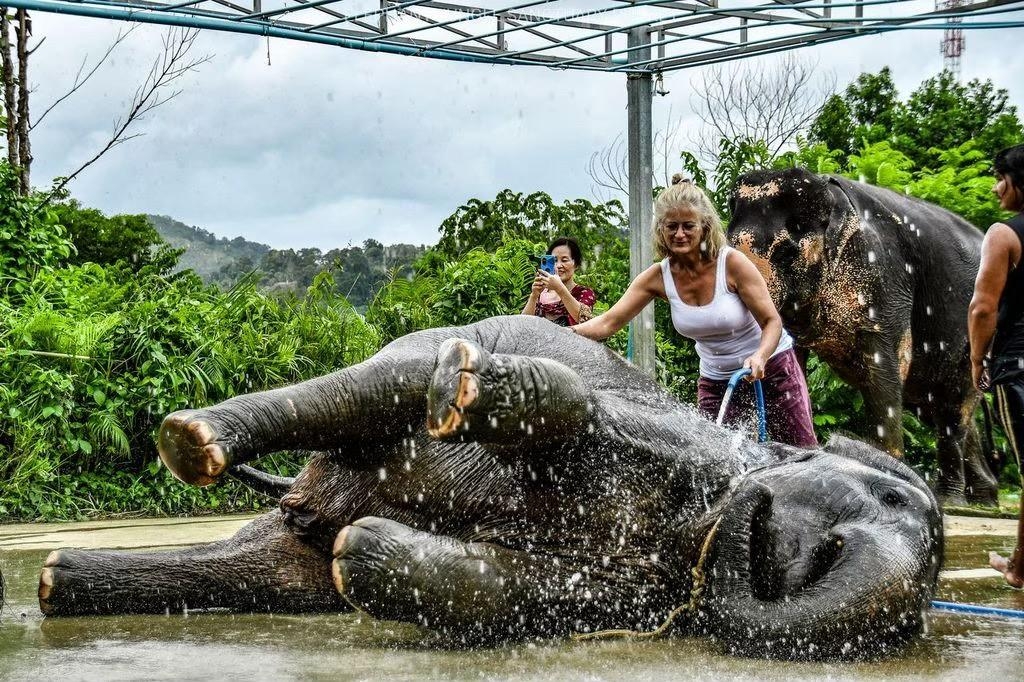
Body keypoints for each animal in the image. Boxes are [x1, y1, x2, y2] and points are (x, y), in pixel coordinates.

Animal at [37, 316, 942, 660]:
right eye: (888, 501)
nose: (757, 535)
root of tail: (306, 495)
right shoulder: (683, 445)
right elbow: (580, 411)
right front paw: (470, 395)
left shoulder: (633, 587)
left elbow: (505, 590)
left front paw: (366, 554)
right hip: (414, 354)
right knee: (387, 381)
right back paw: (194, 442)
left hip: (283, 548)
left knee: (262, 573)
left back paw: (56, 581)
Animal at [727, 168, 998, 507]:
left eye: (787, 252)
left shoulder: (883, 279)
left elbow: (885, 370)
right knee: (946, 407)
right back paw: (985, 500)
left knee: (952, 406)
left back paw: (951, 500)